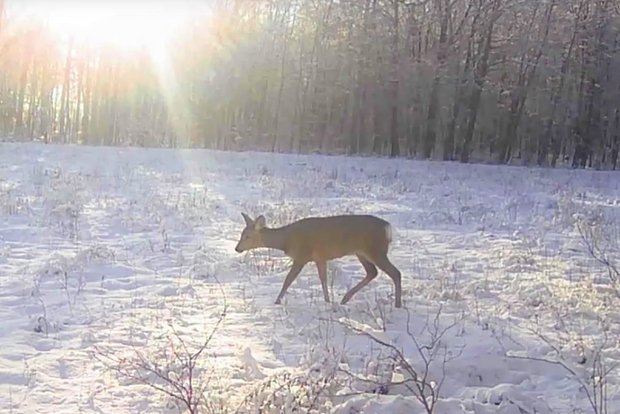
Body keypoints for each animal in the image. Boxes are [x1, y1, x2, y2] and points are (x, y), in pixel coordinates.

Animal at [234, 213, 402, 308]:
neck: (286, 240)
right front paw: (327, 301)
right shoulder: (320, 258)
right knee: (372, 272)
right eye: (241, 234)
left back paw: (398, 305)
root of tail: (387, 227)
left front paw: (277, 302)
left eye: (247, 236)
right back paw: (345, 298)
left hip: (375, 250)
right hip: (361, 252)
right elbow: (323, 279)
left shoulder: (301, 256)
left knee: (395, 273)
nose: (237, 248)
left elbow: (288, 280)